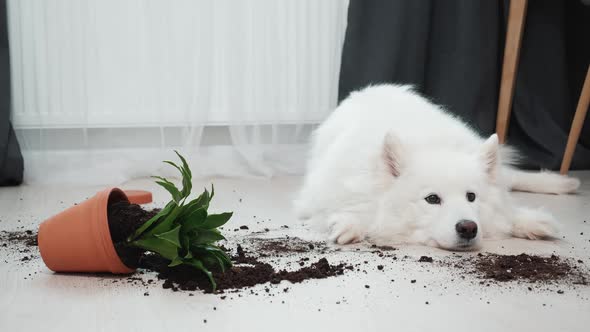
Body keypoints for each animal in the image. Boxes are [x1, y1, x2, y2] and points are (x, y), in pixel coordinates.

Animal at [296, 84, 584, 250]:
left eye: (471, 197)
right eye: (432, 199)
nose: (468, 228)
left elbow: (506, 210)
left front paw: (528, 221)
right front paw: (350, 225)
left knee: (511, 177)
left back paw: (563, 182)